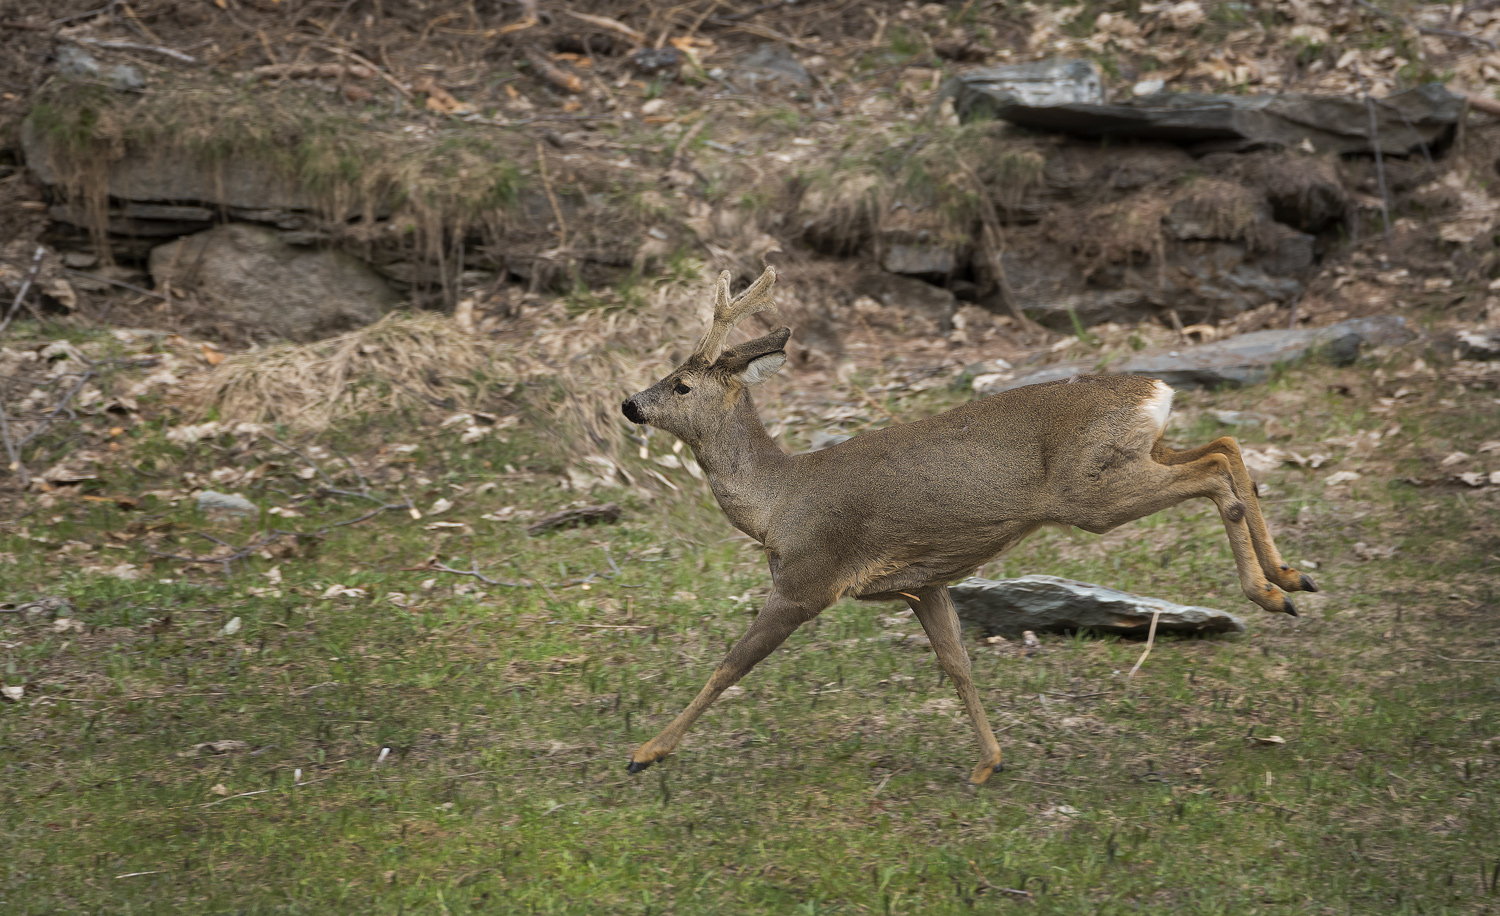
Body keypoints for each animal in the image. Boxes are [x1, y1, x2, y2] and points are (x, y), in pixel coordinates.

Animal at [619, 267, 1316, 785]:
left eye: (680, 386)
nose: (629, 403)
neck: (777, 506)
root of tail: (1156, 389)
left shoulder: (808, 581)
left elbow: (730, 664)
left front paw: (647, 752)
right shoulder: (921, 583)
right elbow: (957, 664)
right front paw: (990, 762)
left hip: (1091, 494)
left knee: (1215, 474)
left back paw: (1268, 591)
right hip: (1130, 460)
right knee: (1225, 447)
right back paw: (1291, 577)